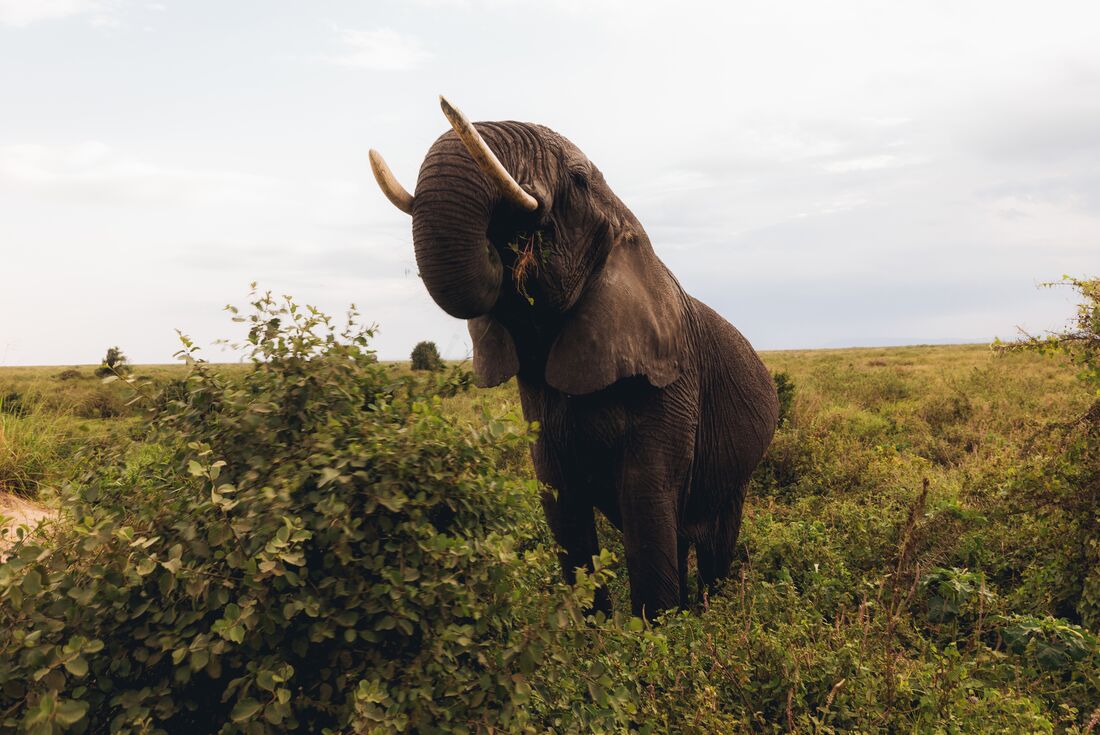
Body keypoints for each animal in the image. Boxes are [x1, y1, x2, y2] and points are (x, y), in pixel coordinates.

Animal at [370, 97, 778, 617]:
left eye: (579, 180)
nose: (507, 244)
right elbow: (560, 499)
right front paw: (593, 629)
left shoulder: (671, 383)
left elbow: (646, 498)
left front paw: (657, 631)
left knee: (713, 540)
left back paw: (709, 613)